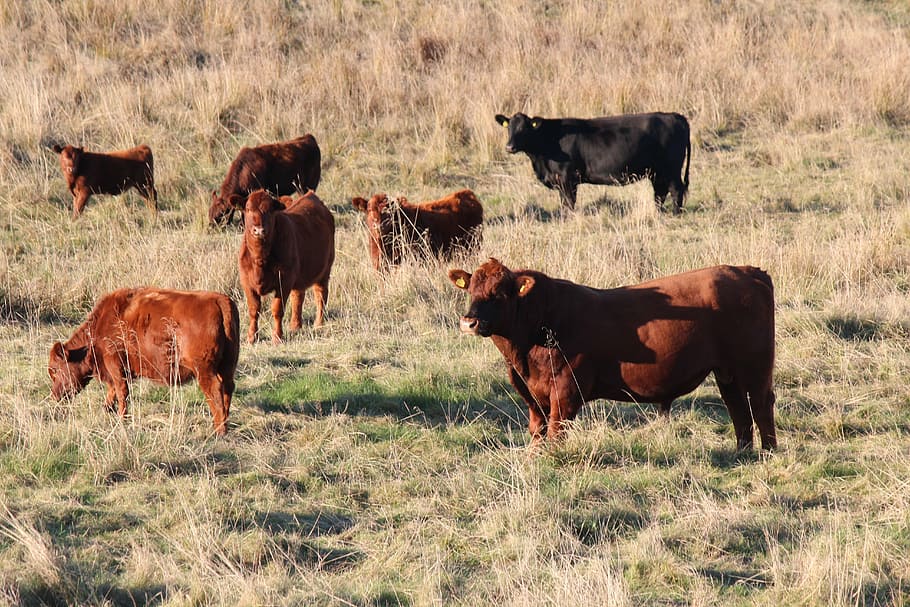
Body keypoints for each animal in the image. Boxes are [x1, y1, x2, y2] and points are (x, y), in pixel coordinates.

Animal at [48, 288, 240, 435]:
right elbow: (113, 390)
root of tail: (220, 300)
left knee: (215, 391)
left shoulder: (115, 366)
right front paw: (107, 408)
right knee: (228, 388)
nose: (55, 396)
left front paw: (121, 417)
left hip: (204, 371)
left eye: (55, 369)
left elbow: (121, 391)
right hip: (227, 366)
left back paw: (219, 430)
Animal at [238, 189, 335, 344]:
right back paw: (295, 326)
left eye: (270, 210)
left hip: (324, 271)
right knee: (298, 296)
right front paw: (251, 337)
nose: (258, 230)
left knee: (320, 295)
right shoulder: (246, 282)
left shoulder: (284, 281)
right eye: (248, 209)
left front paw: (277, 337)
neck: (260, 258)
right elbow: (254, 309)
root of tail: (311, 195)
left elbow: (277, 309)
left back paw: (318, 324)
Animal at [449, 259, 776, 451]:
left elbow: (555, 432)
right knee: (738, 409)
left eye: (500, 293)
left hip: (754, 366)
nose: (469, 322)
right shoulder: (532, 395)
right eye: (471, 290)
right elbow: (537, 431)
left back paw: (767, 451)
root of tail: (747, 271)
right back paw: (743, 452)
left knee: (760, 404)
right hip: (727, 372)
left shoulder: (565, 393)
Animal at [494, 112, 690, 212]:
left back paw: (675, 213)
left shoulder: (567, 179)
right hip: (657, 172)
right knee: (660, 192)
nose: (509, 147)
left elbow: (568, 203)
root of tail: (675, 116)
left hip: (671, 169)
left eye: (524, 129)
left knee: (676, 190)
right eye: (509, 129)